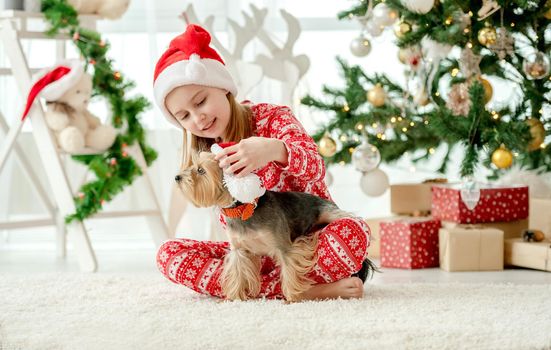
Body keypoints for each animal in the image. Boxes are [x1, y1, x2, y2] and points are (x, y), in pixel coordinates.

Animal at [175, 150, 378, 300]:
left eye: (201, 170)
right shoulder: (239, 250)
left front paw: (292, 298)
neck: (243, 209)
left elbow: (288, 269)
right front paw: (235, 297)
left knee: (349, 221)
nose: (177, 177)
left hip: (328, 212)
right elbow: (238, 273)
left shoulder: (283, 246)